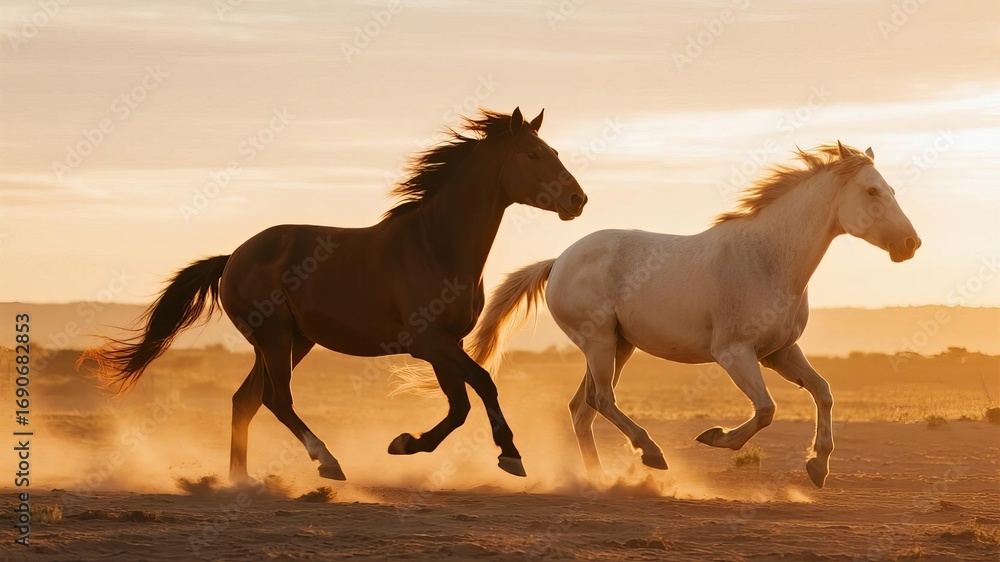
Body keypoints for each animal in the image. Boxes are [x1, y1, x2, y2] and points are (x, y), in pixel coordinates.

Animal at [80, 107, 588, 482]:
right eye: (533, 154)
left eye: (551, 150)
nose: (577, 200)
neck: (434, 246)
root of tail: (233, 258)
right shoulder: (430, 344)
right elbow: (481, 386)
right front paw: (507, 455)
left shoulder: (448, 344)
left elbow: (462, 403)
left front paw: (409, 444)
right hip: (275, 338)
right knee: (276, 400)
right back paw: (327, 461)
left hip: (294, 340)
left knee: (245, 401)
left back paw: (242, 481)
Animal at [397, 142, 920, 488]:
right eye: (872, 192)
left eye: (892, 188)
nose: (910, 244)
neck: (768, 259)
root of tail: (559, 260)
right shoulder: (735, 354)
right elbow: (766, 410)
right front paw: (716, 438)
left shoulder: (780, 352)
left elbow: (824, 392)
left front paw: (819, 465)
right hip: (601, 343)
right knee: (601, 401)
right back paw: (651, 454)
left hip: (618, 346)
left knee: (582, 409)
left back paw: (597, 478)